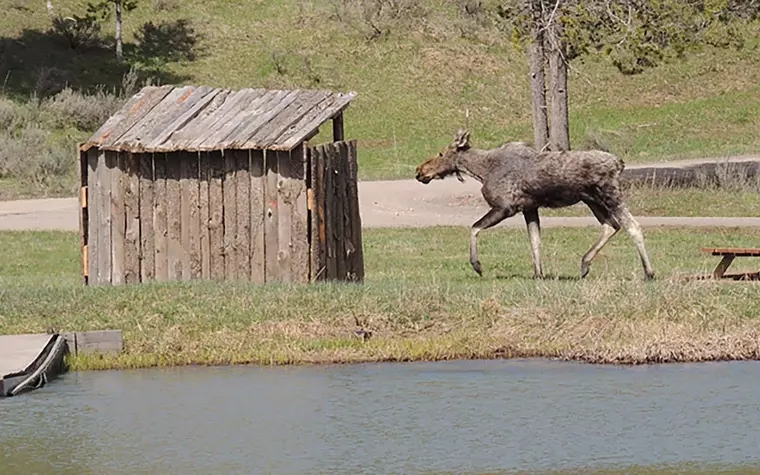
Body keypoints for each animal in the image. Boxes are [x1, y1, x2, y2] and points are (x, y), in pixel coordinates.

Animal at [412, 128, 656, 280]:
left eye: (441, 153)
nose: (419, 171)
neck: (481, 171)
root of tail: (620, 163)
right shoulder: (529, 207)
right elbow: (535, 241)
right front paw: (539, 274)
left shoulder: (506, 207)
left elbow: (474, 227)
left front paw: (477, 265)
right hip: (591, 200)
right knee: (611, 225)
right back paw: (585, 263)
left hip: (609, 195)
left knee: (632, 226)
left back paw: (649, 272)